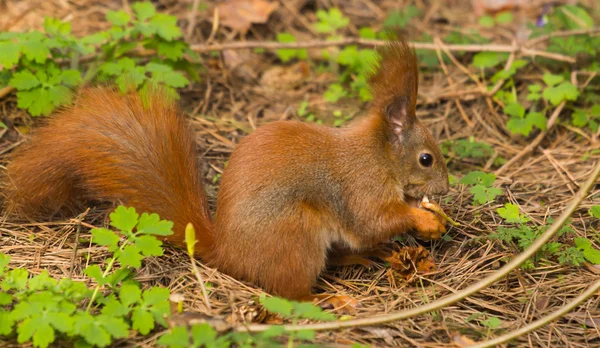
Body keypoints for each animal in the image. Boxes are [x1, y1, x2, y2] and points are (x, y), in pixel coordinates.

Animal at [2, 40, 448, 310]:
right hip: (296, 233)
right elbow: (372, 220)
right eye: (426, 158)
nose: (445, 188)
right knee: (291, 293)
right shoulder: (361, 188)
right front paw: (422, 218)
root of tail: (227, 252)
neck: (380, 157)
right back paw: (330, 301)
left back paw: (370, 256)